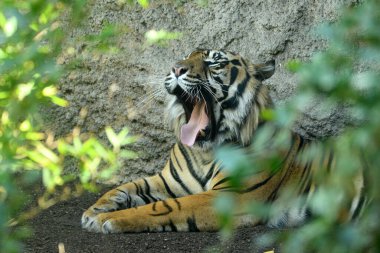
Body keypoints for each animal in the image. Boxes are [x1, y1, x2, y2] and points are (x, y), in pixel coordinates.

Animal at [81, 49, 366, 233]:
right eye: (186, 56)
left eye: (214, 62)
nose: (176, 68)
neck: (204, 151)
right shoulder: (167, 180)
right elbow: (124, 188)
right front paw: (94, 211)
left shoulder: (228, 195)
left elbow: (162, 207)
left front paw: (108, 219)